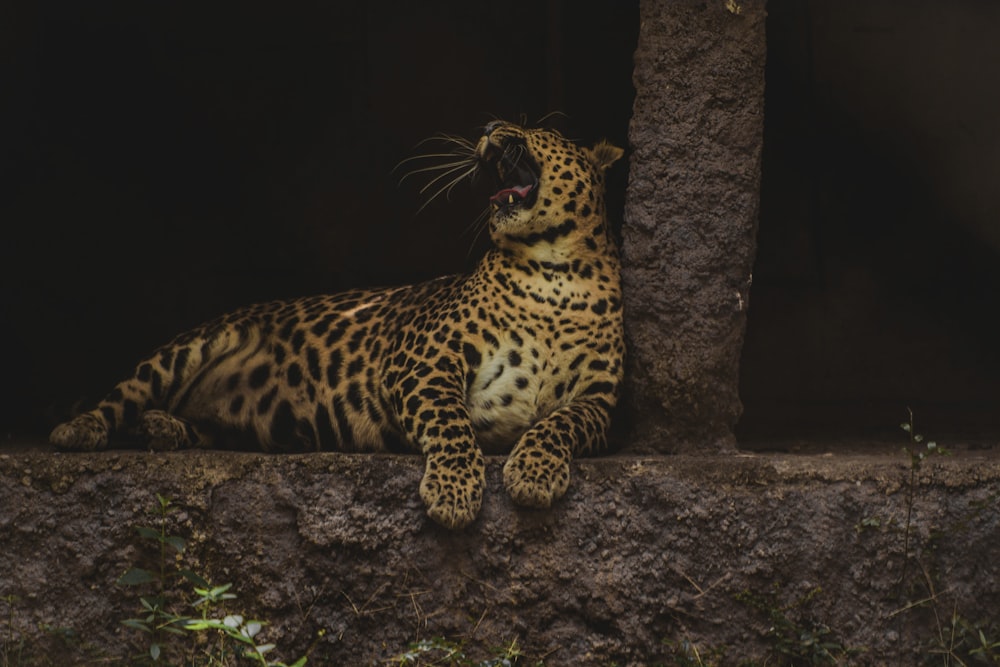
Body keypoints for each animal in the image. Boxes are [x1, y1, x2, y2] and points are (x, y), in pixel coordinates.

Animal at [50, 118, 624, 528]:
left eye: (539, 128)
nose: (487, 126)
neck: (554, 272)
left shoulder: (600, 400)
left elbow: (559, 424)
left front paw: (531, 473)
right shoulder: (423, 361)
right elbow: (452, 423)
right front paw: (454, 491)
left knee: (206, 426)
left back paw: (164, 427)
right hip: (190, 345)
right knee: (122, 396)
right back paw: (79, 430)